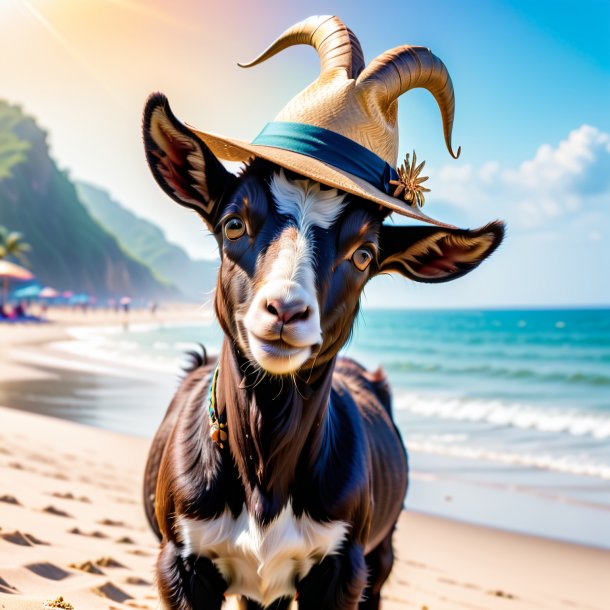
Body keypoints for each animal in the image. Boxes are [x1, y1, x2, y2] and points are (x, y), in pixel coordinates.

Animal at [141, 14, 504, 608]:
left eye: (364, 254)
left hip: (381, 552)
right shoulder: (181, 562)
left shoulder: (341, 567)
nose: (285, 311)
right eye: (233, 223)